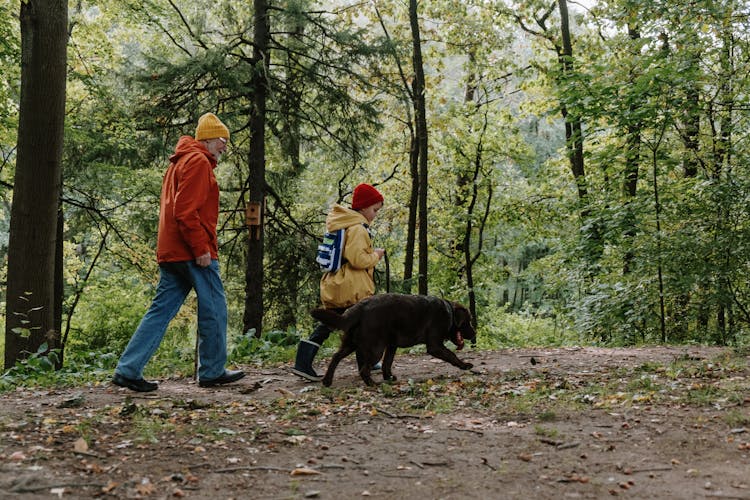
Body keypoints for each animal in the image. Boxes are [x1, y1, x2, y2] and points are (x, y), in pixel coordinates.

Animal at [310, 292, 476, 386]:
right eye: (468, 321)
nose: (474, 334)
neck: (449, 312)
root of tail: (359, 307)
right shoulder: (435, 345)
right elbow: (452, 355)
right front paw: (465, 365)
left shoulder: (391, 345)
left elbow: (387, 363)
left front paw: (388, 377)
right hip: (375, 349)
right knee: (364, 369)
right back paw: (372, 383)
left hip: (351, 343)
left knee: (336, 356)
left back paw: (327, 381)